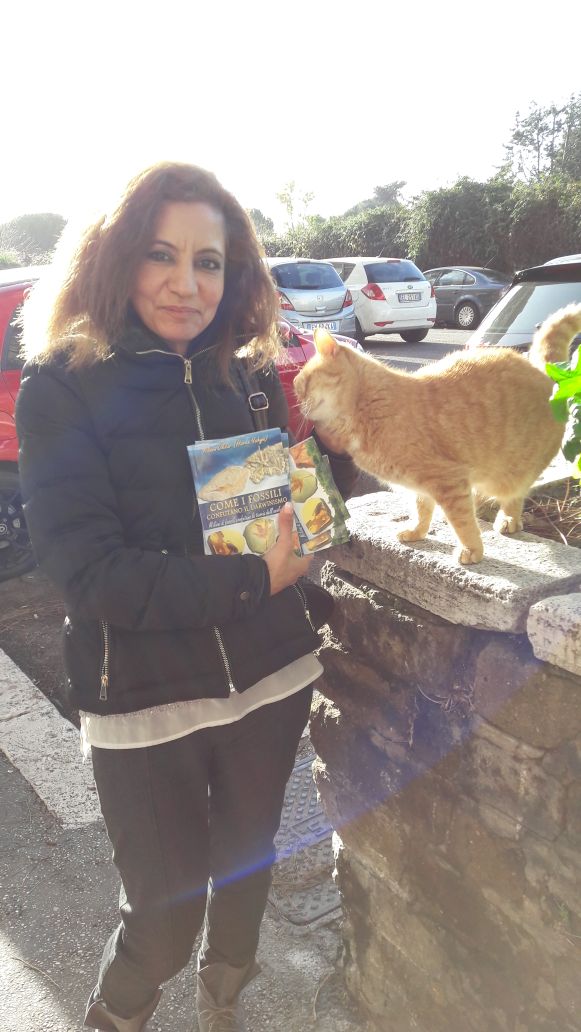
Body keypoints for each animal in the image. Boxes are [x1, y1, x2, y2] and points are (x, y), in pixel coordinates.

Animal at [293, 303, 581, 564]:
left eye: (303, 383)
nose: (298, 401)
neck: (371, 407)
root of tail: (544, 372)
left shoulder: (447, 480)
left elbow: (463, 522)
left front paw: (471, 550)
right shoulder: (422, 486)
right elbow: (422, 510)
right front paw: (417, 532)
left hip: (508, 475)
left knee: (513, 495)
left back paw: (508, 519)